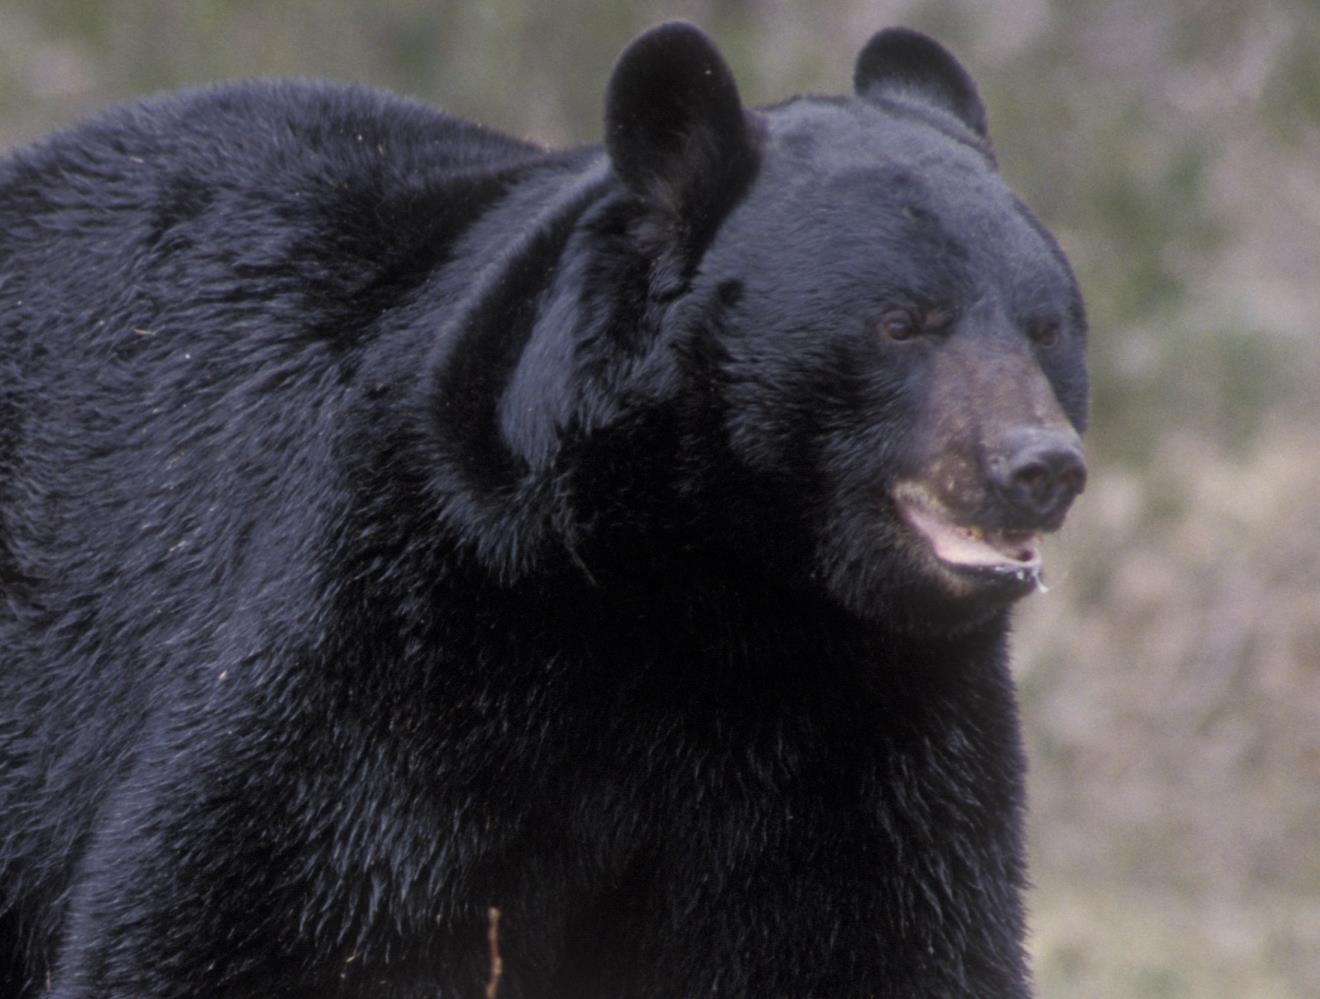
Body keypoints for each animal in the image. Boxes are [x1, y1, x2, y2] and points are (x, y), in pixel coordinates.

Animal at [0, 21, 1087, 999]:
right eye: (902, 322)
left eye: (1046, 326)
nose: (1041, 466)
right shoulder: (413, 606)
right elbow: (265, 895)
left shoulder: (879, 710)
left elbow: (879, 932)